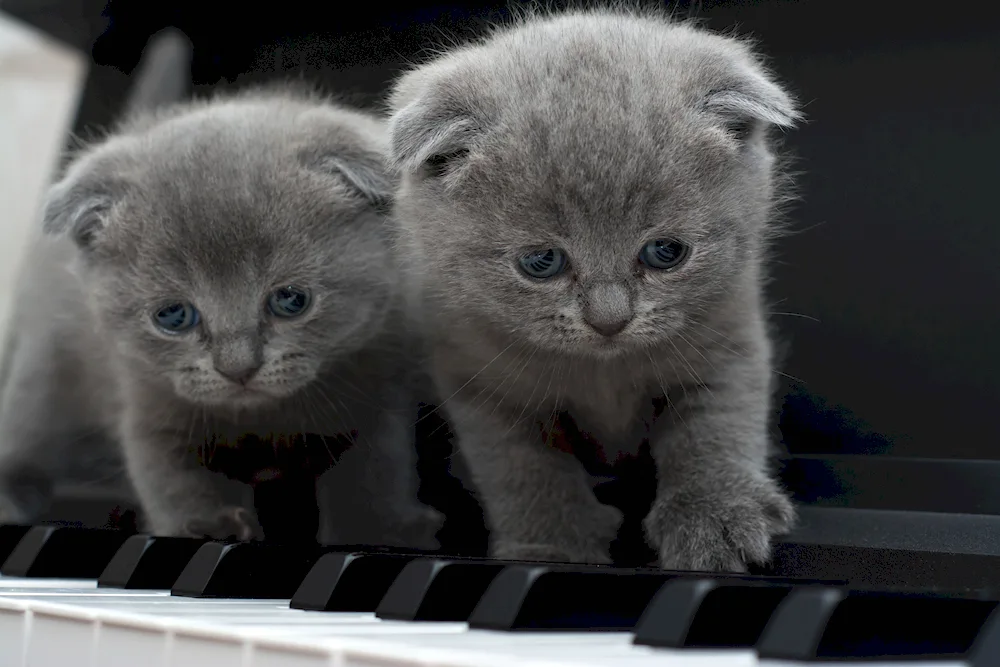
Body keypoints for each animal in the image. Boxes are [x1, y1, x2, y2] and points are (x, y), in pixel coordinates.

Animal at [0, 88, 442, 548]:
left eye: (291, 300)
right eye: (173, 316)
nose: (238, 368)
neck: (264, 420)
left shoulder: (380, 385)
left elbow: (377, 470)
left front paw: (379, 529)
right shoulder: (146, 403)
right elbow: (171, 478)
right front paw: (206, 526)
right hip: (48, 373)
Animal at [386, 9, 800, 576]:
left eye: (666, 252)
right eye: (541, 262)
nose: (609, 319)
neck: (604, 372)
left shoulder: (727, 337)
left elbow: (716, 427)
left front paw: (715, 518)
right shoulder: (476, 376)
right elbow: (522, 466)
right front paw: (551, 545)